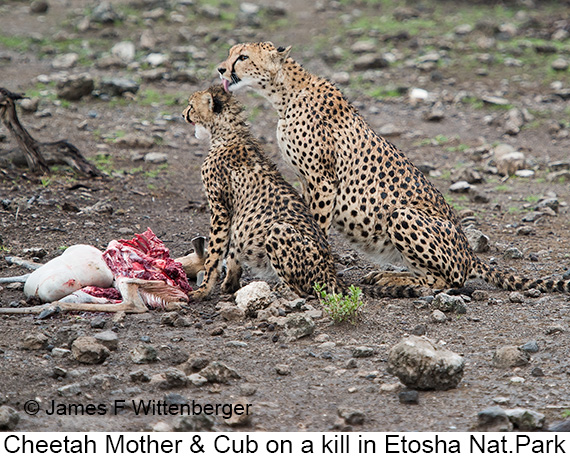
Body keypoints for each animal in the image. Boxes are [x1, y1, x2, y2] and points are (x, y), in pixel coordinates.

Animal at [183, 85, 338, 300]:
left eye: (191, 105)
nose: (183, 114)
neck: (228, 132)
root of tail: (332, 274)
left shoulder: (220, 209)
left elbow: (214, 254)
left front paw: (203, 290)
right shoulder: (235, 216)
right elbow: (233, 250)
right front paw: (229, 284)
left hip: (278, 229)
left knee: (301, 292)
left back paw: (279, 291)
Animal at [217, 41, 568, 294]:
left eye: (242, 57)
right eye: (230, 52)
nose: (220, 68)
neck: (286, 93)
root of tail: (469, 251)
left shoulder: (322, 181)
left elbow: (316, 227)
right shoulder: (307, 181)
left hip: (401, 214)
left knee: (448, 281)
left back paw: (394, 280)